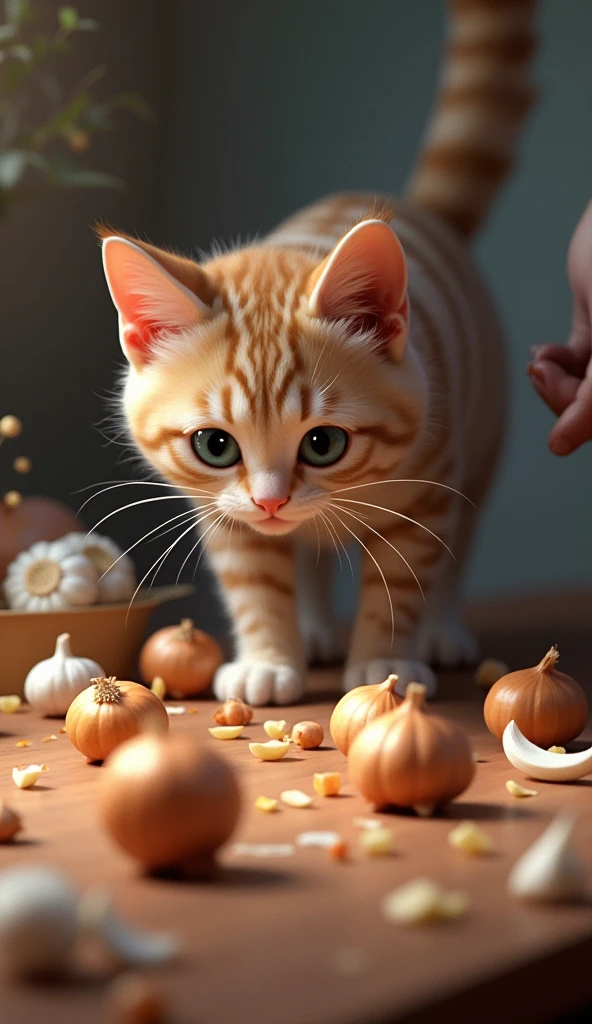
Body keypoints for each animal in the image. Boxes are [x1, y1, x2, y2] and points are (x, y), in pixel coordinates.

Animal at [97, 0, 532, 704]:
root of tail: (417, 210)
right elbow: (256, 579)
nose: (272, 501)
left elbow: (403, 577)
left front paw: (385, 663)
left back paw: (441, 630)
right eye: (214, 445)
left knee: (459, 543)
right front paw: (270, 658)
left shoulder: (432, 484)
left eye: (323, 443)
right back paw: (312, 624)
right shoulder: (224, 512)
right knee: (307, 555)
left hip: (483, 436)